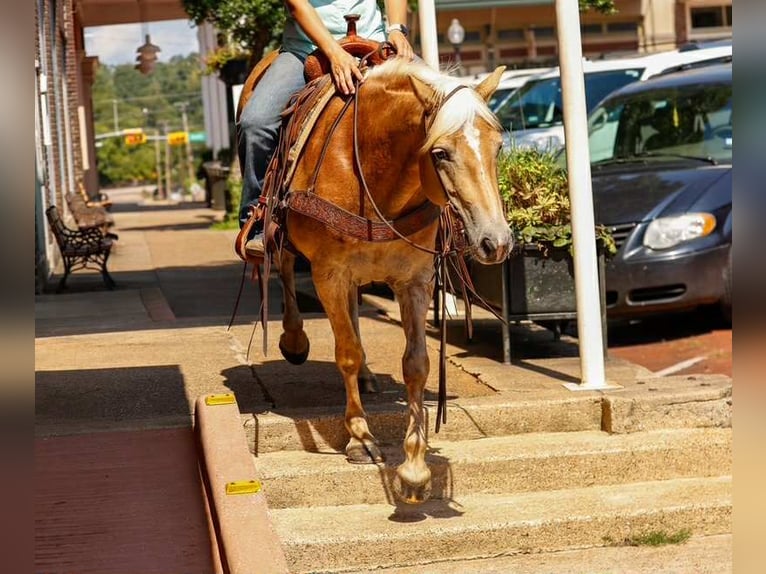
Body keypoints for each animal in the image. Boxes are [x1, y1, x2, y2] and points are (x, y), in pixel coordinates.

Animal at [243, 57, 512, 504]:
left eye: (498, 147)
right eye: (440, 153)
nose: (496, 241)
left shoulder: (415, 280)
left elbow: (416, 363)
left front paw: (415, 468)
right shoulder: (329, 273)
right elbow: (346, 352)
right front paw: (360, 437)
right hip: (287, 242)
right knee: (285, 267)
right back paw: (295, 340)